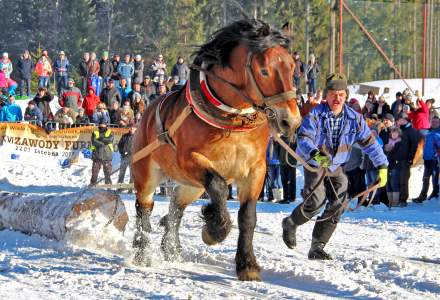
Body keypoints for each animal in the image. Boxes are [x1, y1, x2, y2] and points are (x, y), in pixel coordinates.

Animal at [132, 19, 300, 282]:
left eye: (292, 68)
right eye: (264, 71)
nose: (290, 121)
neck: (233, 118)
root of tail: (146, 113)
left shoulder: (256, 170)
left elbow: (247, 217)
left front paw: (247, 264)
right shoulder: (190, 159)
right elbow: (219, 187)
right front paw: (214, 229)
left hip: (191, 185)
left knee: (175, 208)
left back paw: (171, 247)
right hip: (147, 173)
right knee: (144, 209)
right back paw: (143, 252)